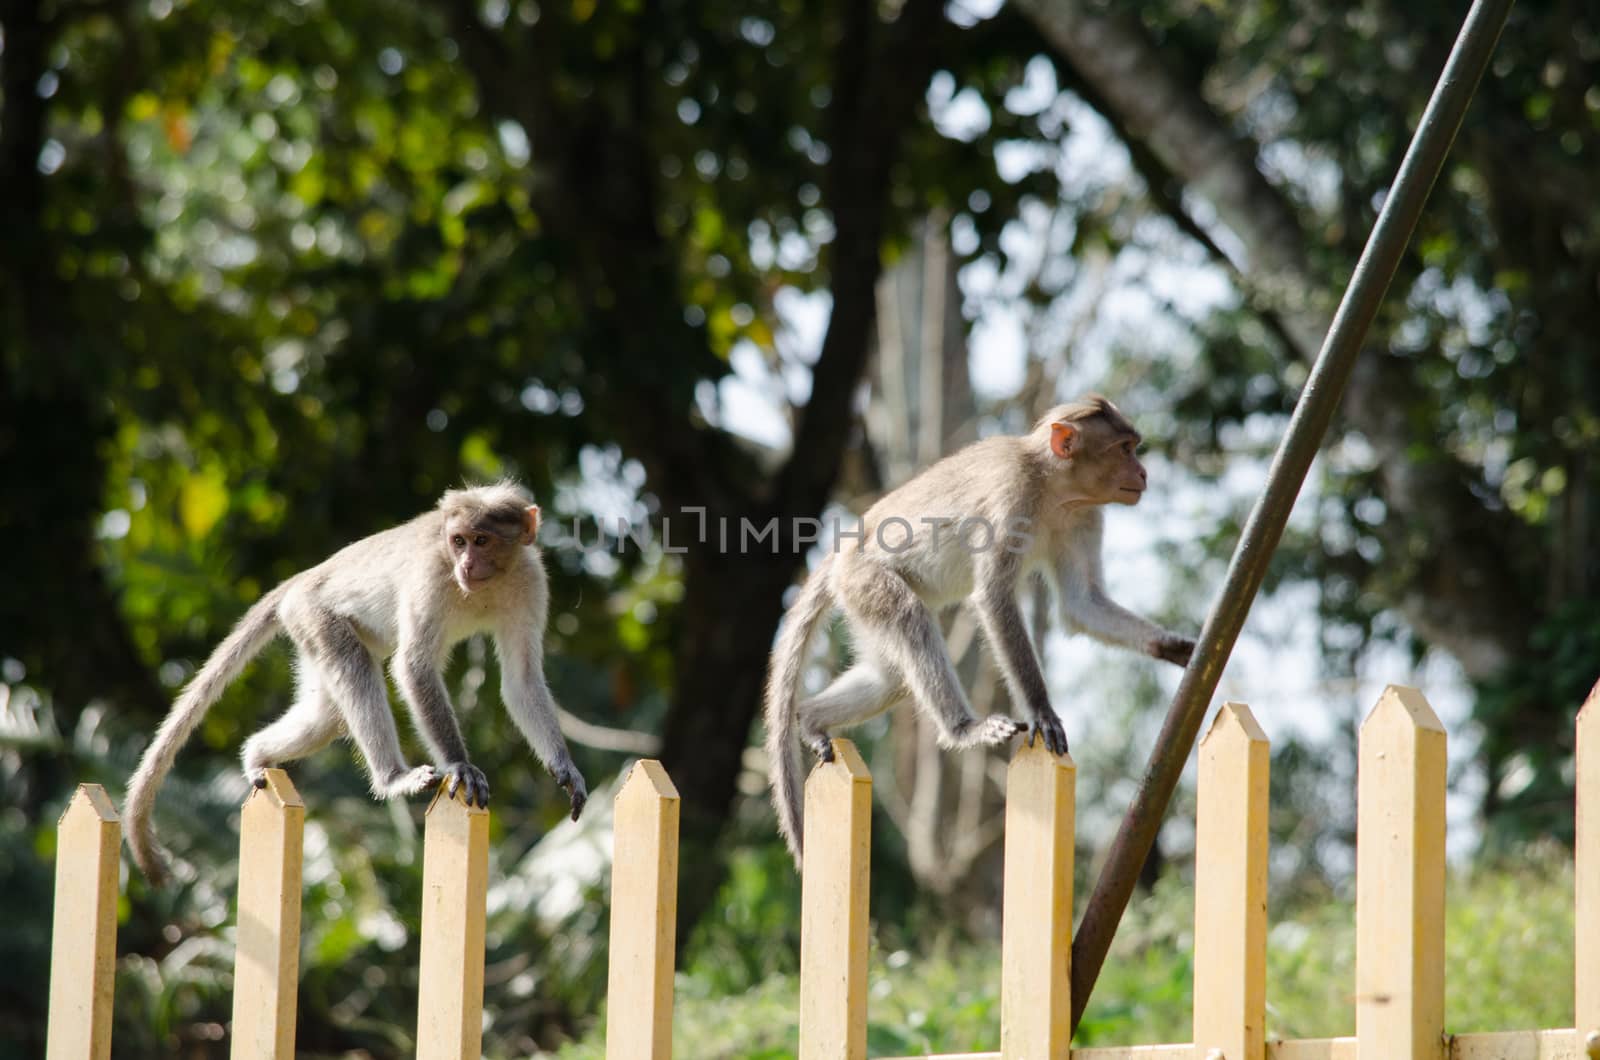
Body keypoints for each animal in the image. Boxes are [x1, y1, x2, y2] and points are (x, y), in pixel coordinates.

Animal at [123, 483, 588, 890]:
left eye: (482, 540)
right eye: (458, 541)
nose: (467, 565)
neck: (486, 585)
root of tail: (304, 578)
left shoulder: (530, 580)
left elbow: (521, 678)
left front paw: (564, 767)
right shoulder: (434, 576)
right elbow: (414, 667)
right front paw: (459, 765)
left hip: (308, 633)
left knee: (324, 718)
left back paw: (257, 755)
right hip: (315, 615)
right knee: (355, 670)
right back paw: (392, 778)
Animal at [764, 393, 1203, 871]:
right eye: (1124, 449)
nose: (1143, 473)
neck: (1055, 488)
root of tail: (842, 551)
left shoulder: (1084, 515)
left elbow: (1082, 605)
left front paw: (1179, 648)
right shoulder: (1015, 497)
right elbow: (994, 596)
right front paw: (1042, 712)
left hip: (858, 598)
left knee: (891, 678)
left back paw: (811, 719)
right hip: (867, 579)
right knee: (908, 617)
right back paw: (963, 728)